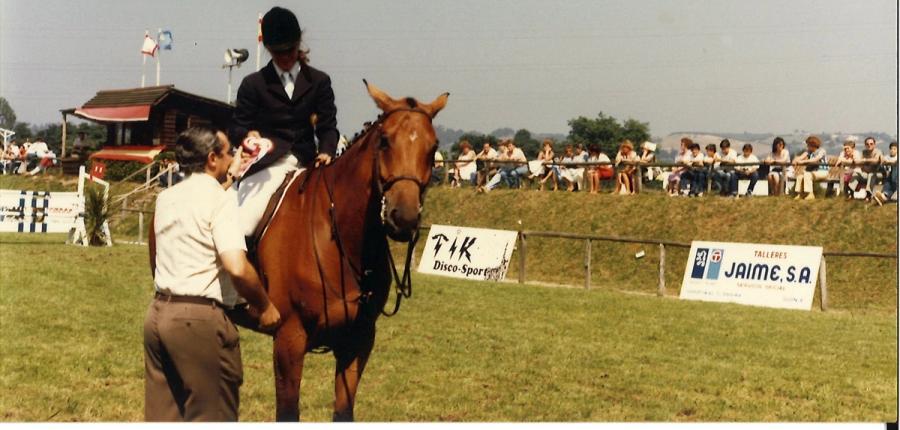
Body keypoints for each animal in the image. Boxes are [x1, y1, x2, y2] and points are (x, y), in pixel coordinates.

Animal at [256, 81, 449, 421]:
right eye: (384, 141)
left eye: (433, 146)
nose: (403, 218)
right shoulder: (289, 339)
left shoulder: (358, 341)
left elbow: (344, 410)